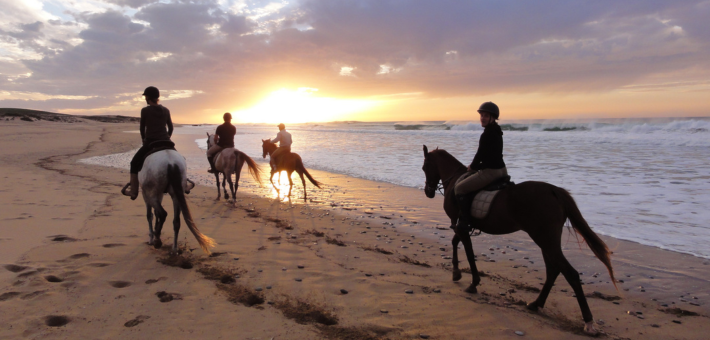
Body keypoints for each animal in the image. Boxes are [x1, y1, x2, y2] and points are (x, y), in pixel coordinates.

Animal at [422, 145, 616, 334]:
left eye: (424, 167)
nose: (428, 192)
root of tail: (553, 190)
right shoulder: (461, 226)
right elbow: (456, 243)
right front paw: (456, 273)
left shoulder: (459, 224)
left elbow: (468, 252)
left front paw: (473, 283)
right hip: (547, 240)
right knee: (553, 270)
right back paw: (536, 304)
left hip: (544, 238)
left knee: (570, 273)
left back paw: (588, 322)